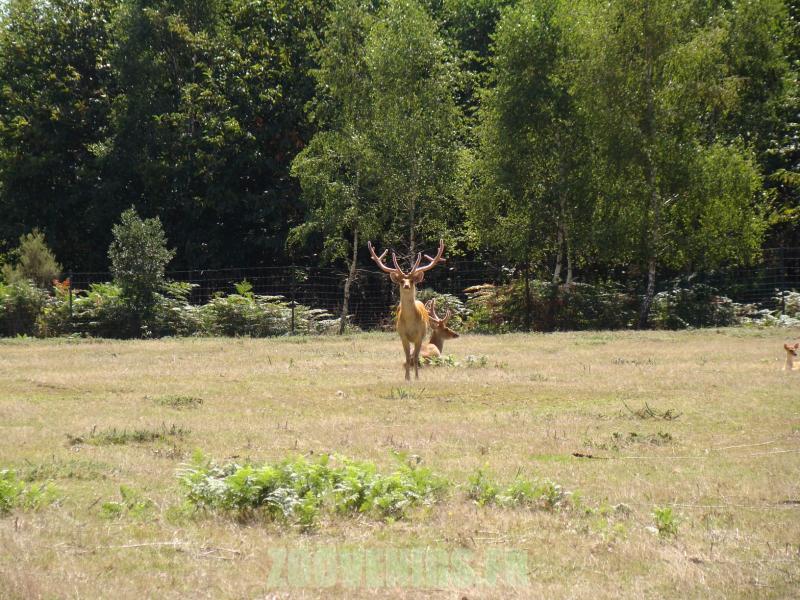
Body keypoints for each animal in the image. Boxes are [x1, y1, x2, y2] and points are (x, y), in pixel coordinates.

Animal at [368, 239, 446, 380]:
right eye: (401, 281)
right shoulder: (402, 334)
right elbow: (407, 357)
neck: (410, 322)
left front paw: (416, 377)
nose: (406, 285)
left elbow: (415, 357)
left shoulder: (419, 335)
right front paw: (407, 378)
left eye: (412, 281)